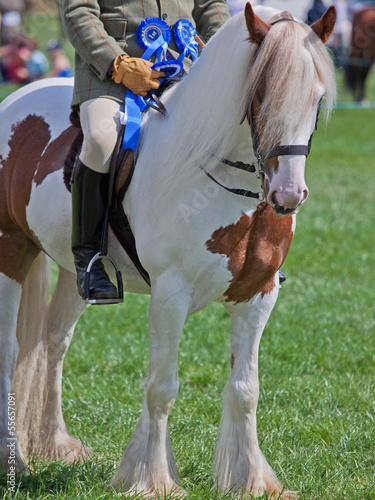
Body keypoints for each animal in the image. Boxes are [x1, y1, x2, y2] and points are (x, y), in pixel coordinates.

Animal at [0, 4, 338, 500]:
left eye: (317, 99)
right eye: (260, 94)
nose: (288, 195)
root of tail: (16, 100)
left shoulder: (258, 296)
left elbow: (245, 389)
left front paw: (252, 481)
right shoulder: (169, 296)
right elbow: (162, 387)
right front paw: (152, 480)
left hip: (75, 272)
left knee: (54, 341)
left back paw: (56, 445)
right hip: (10, 251)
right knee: (10, 350)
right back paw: (17, 462)